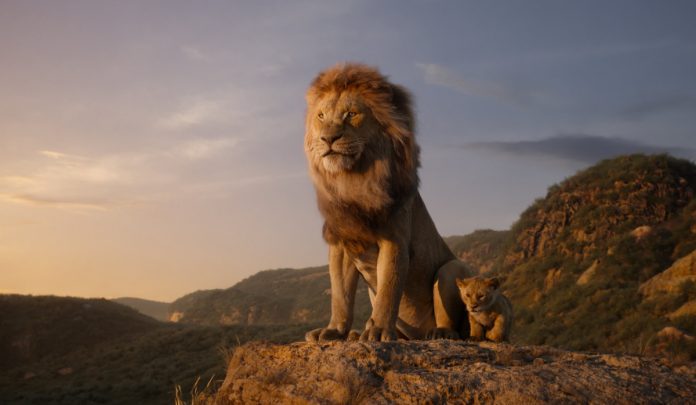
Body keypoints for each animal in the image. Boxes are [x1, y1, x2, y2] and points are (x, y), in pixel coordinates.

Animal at [303, 63, 474, 342]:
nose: (328, 139)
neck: (353, 179)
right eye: (321, 116)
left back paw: (439, 333)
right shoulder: (342, 243)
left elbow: (389, 289)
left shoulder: (394, 239)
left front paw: (379, 330)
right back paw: (357, 334)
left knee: (454, 322)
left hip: (452, 268)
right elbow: (340, 295)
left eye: (351, 114)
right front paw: (334, 330)